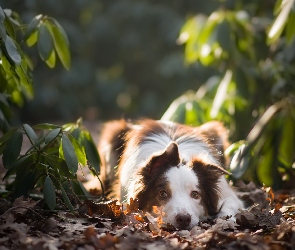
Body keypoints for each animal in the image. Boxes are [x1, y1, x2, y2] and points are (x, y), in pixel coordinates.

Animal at [98, 119, 244, 230]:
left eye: (195, 194)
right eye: (163, 194)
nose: (184, 219)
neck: (181, 158)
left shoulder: (229, 196)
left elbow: (230, 206)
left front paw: (225, 221)